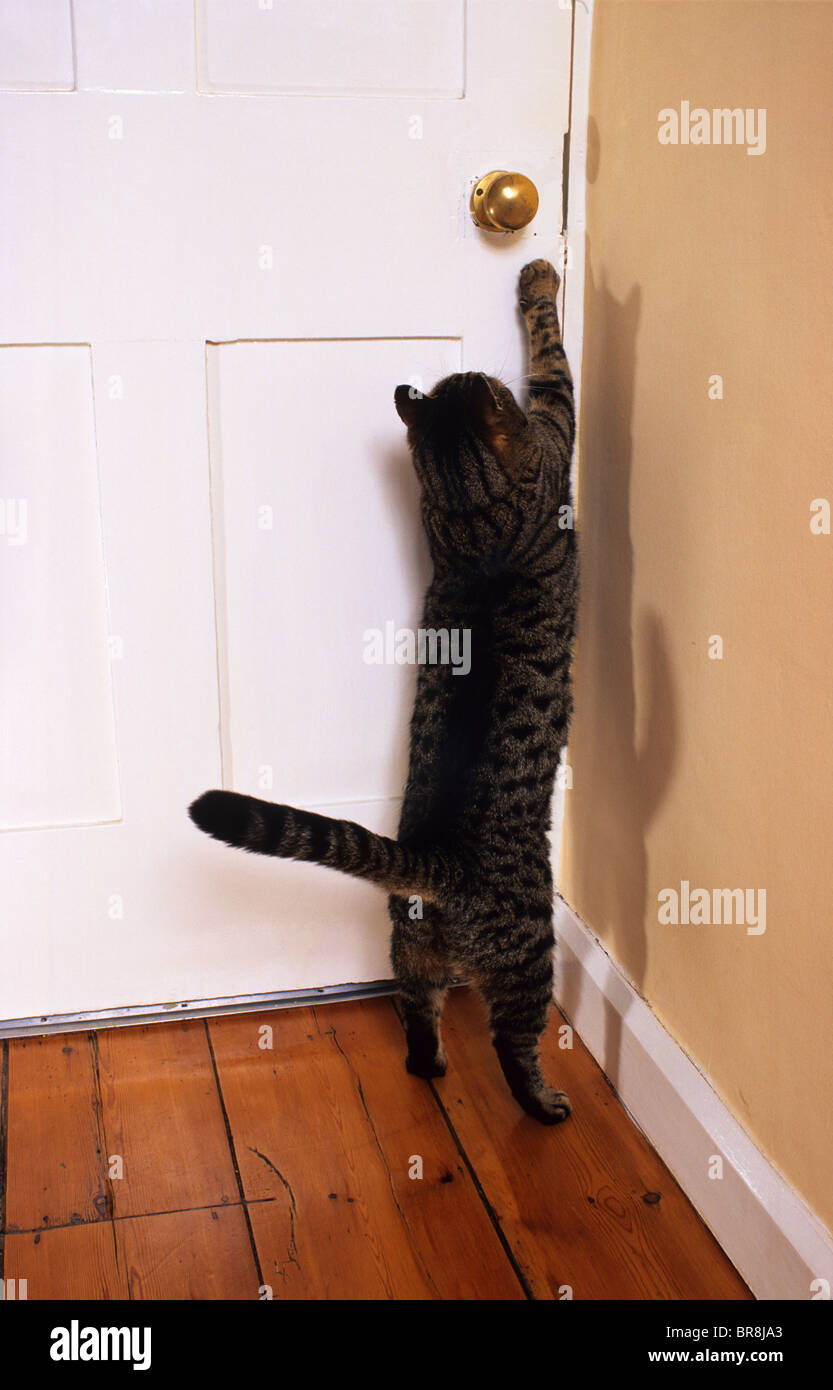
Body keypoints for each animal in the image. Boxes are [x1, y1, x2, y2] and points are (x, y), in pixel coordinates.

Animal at [191, 261, 575, 1123]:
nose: (474, 372)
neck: (469, 513)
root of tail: (434, 864)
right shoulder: (554, 434)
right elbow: (553, 363)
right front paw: (537, 278)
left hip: (409, 947)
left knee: (414, 1007)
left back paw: (428, 1066)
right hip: (531, 955)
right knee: (511, 1043)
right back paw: (542, 1106)